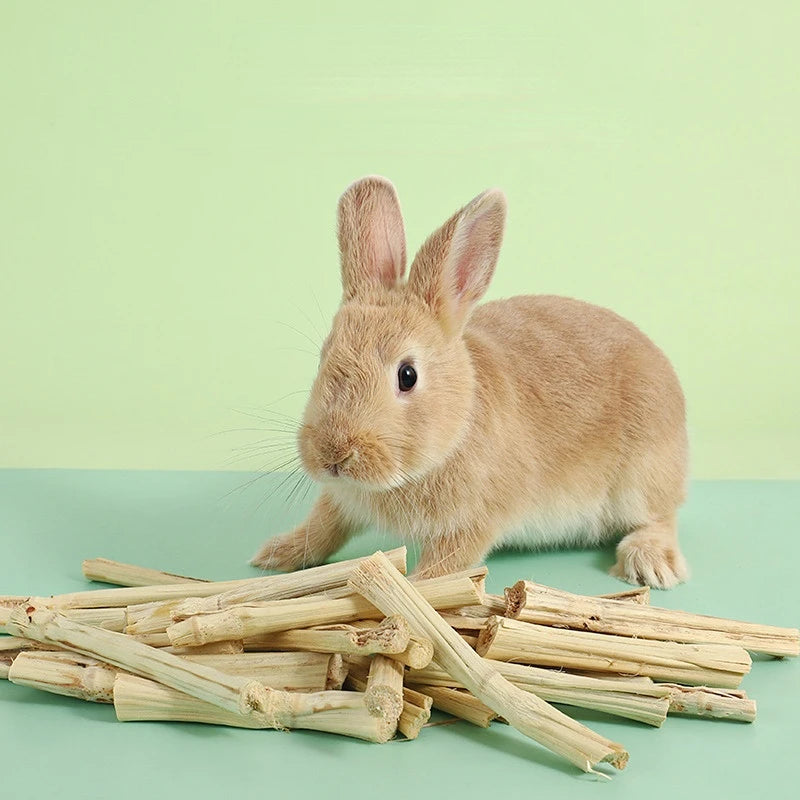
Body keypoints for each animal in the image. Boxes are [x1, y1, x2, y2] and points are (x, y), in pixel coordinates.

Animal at [251, 176, 689, 588]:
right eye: (324, 358)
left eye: (407, 375)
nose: (334, 455)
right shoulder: (342, 501)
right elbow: (323, 527)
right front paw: (275, 554)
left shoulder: (474, 522)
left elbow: (445, 566)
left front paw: (412, 590)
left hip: (642, 476)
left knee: (660, 517)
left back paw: (650, 564)